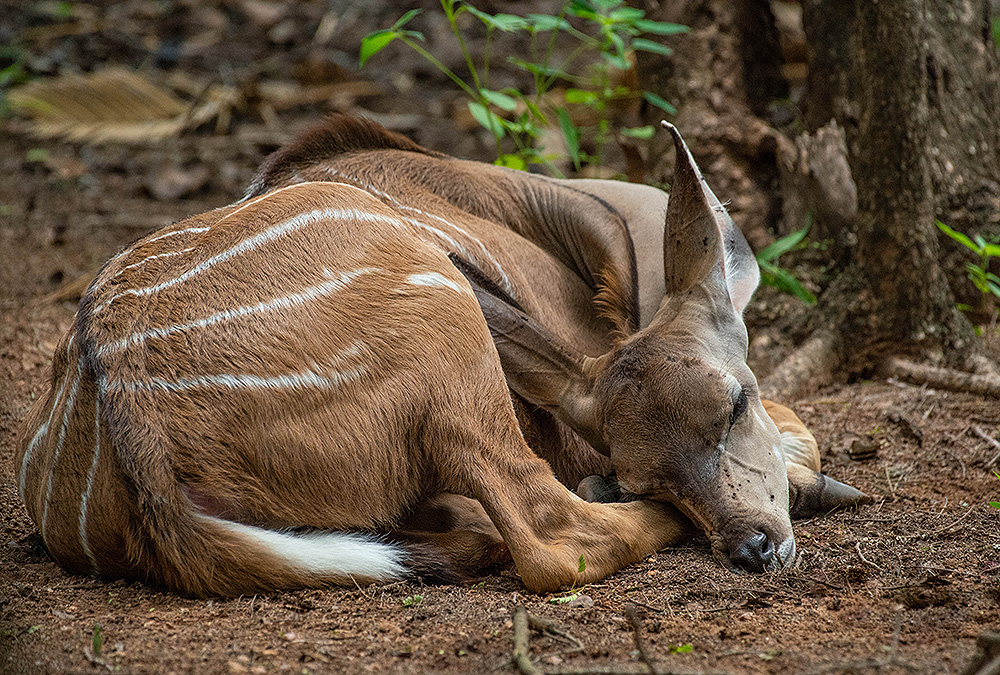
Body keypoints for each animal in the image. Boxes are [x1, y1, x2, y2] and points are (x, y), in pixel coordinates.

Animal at [17, 117, 868, 596]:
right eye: (643, 475)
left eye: (732, 403)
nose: (752, 544)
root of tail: (134, 426)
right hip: (448, 335)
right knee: (549, 538)